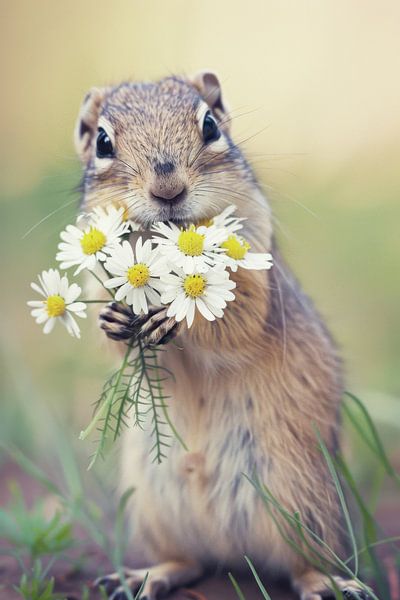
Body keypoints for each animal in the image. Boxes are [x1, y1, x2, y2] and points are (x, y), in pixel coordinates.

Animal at [73, 72, 368, 596]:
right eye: (103, 142)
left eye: (210, 124)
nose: (168, 188)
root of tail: (234, 554)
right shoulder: (95, 280)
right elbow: (109, 333)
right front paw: (115, 320)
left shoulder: (254, 267)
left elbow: (235, 317)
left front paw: (174, 319)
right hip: (156, 508)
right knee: (189, 561)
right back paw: (145, 576)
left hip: (303, 503)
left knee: (300, 563)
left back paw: (327, 583)